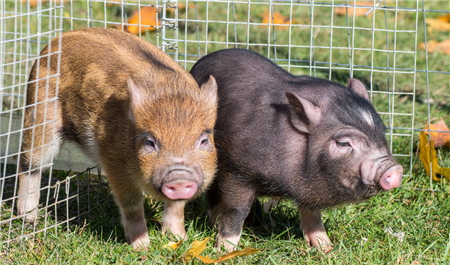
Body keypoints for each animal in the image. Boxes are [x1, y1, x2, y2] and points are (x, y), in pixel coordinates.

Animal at [18, 27, 219, 249]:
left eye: (203, 140)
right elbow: (131, 204)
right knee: (28, 162)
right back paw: (29, 218)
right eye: (150, 142)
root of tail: (55, 41)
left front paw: (178, 240)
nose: (180, 177)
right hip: (39, 114)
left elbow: (177, 207)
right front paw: (142, 247)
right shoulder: (114, 160)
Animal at [190, 48, 404, 251]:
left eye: (382, 132)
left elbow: (312, 212)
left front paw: (326, 248)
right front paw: (224, 250)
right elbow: (236, 210)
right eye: (344, 143)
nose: (395, 169)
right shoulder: (238, 172)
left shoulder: (307, 187)